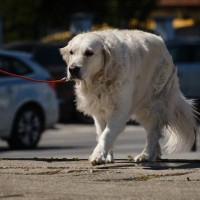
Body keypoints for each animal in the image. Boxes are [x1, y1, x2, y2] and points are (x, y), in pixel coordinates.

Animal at [60, 28, 198, 165]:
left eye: (89, 53)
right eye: (72, 52)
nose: (72, 69)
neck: (103, 77)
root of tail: (162, 43)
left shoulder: (120, 110)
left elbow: (107, 133)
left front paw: (98, 155)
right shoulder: (99, 113)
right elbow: (102, 132)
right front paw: (107, 156)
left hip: (152, 104)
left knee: (153, 133)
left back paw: (145, 155)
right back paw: (154, 155)